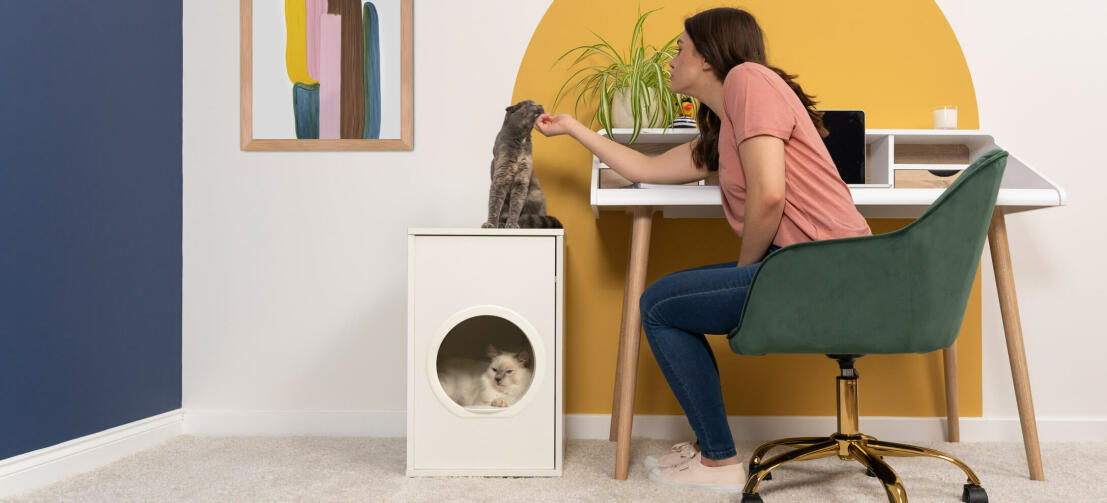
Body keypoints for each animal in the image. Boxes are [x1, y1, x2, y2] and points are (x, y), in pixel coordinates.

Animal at [480, 100, 562, 229]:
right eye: (531, 104)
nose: (540, 105)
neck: (522, 139)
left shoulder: (522, 177)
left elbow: (516, 205)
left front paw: (512, 224)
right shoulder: (502, 175)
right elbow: (495, 203)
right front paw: (491, 224)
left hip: (534, 194)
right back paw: (501, 224)